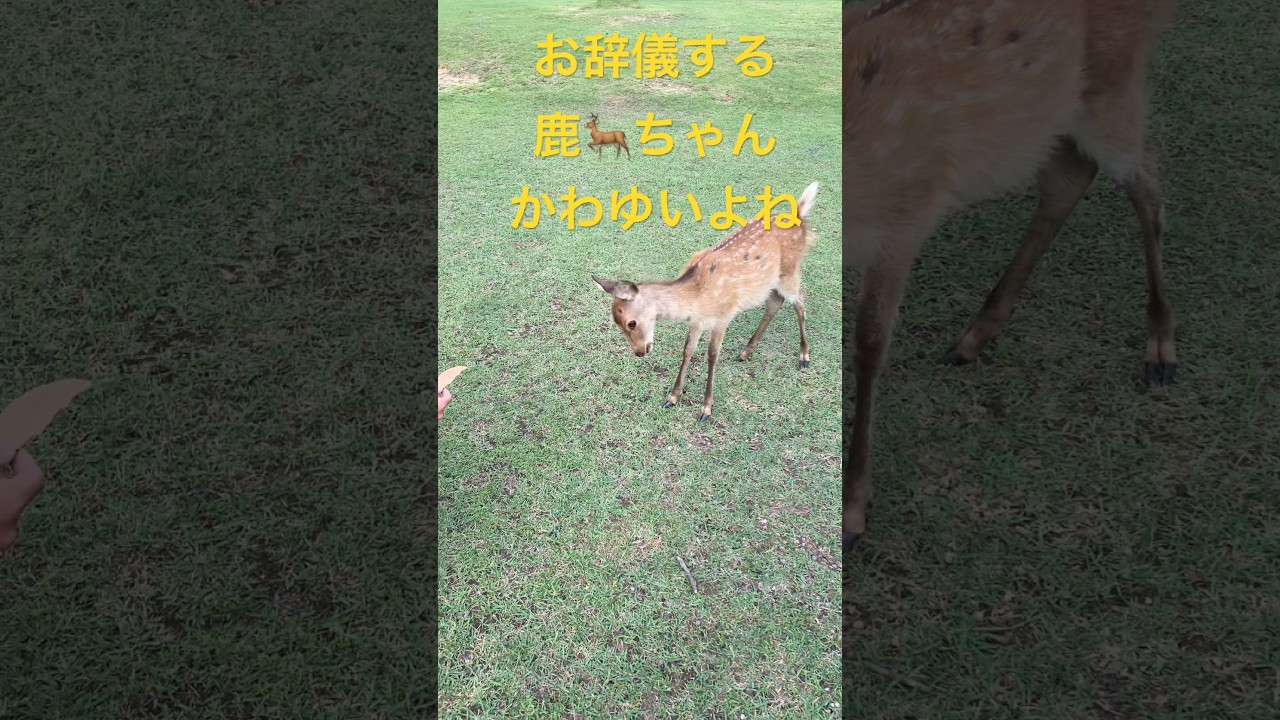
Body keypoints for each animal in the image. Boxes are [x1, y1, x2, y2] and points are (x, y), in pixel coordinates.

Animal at [593, 182, 820, 422]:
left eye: (631, 322)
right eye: (617, 323)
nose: (639, 352)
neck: (696, 296)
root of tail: (799, 214)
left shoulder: (723, 315)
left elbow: (712, 355)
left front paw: (705, 409)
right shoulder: (697, 321)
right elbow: (688, 350)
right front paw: (672, 397)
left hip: (789, 272)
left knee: (800, 304)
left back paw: (804, 356)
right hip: (770, 283)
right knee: (775, 303)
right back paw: (746, 352)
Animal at [842, 0, 1179, 553]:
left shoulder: (907, 212)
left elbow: (869, 345)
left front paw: (853, 509)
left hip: (1114, 84)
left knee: (1146, 183)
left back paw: (1160, 349)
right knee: (1071, 175)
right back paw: (974, 336)